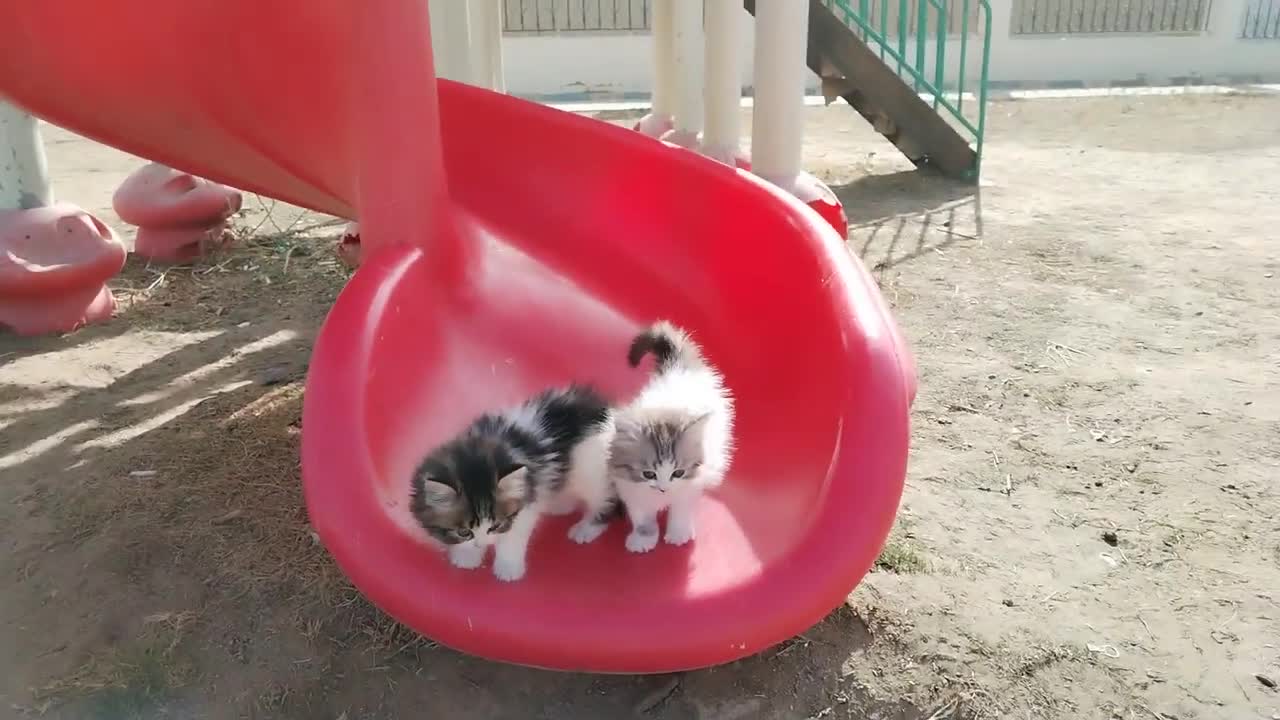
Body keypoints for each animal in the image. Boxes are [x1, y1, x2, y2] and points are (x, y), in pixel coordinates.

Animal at [407, 384, 611, 579]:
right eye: (464, 532)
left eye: (495, 525)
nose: (482, 543)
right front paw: (467, 556)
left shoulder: (526, 502)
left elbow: (513, 538)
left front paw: (508, 568)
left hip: (594, 474)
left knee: (604, 501)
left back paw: (586, 529)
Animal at [609, 319, 732, 548]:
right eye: (648, 474)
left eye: (678, 473)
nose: (663, 489)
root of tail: (677, 367)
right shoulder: (629, 486)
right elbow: (642, 515)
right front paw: (644, 538)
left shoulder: (691, 484)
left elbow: (682, 509)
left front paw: (678, 533)